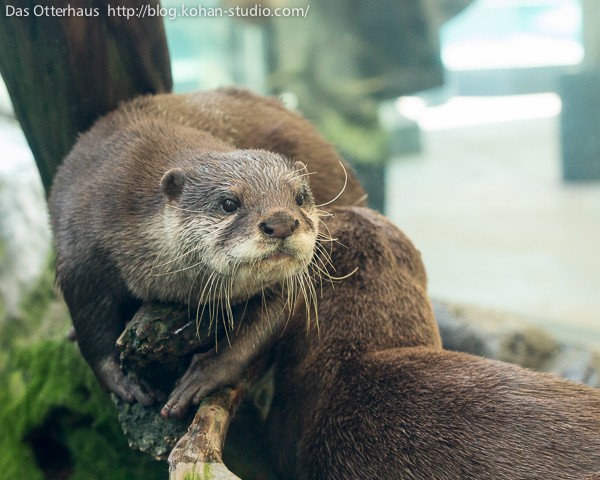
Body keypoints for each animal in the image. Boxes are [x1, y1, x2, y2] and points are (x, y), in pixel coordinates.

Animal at [48, 88, 366, 414]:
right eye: (229, 203)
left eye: (300, 197)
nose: (281, 223)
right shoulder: (80, 250)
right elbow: (90, 326)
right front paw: (124, 380)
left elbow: (264, 325)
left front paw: (206, 372)